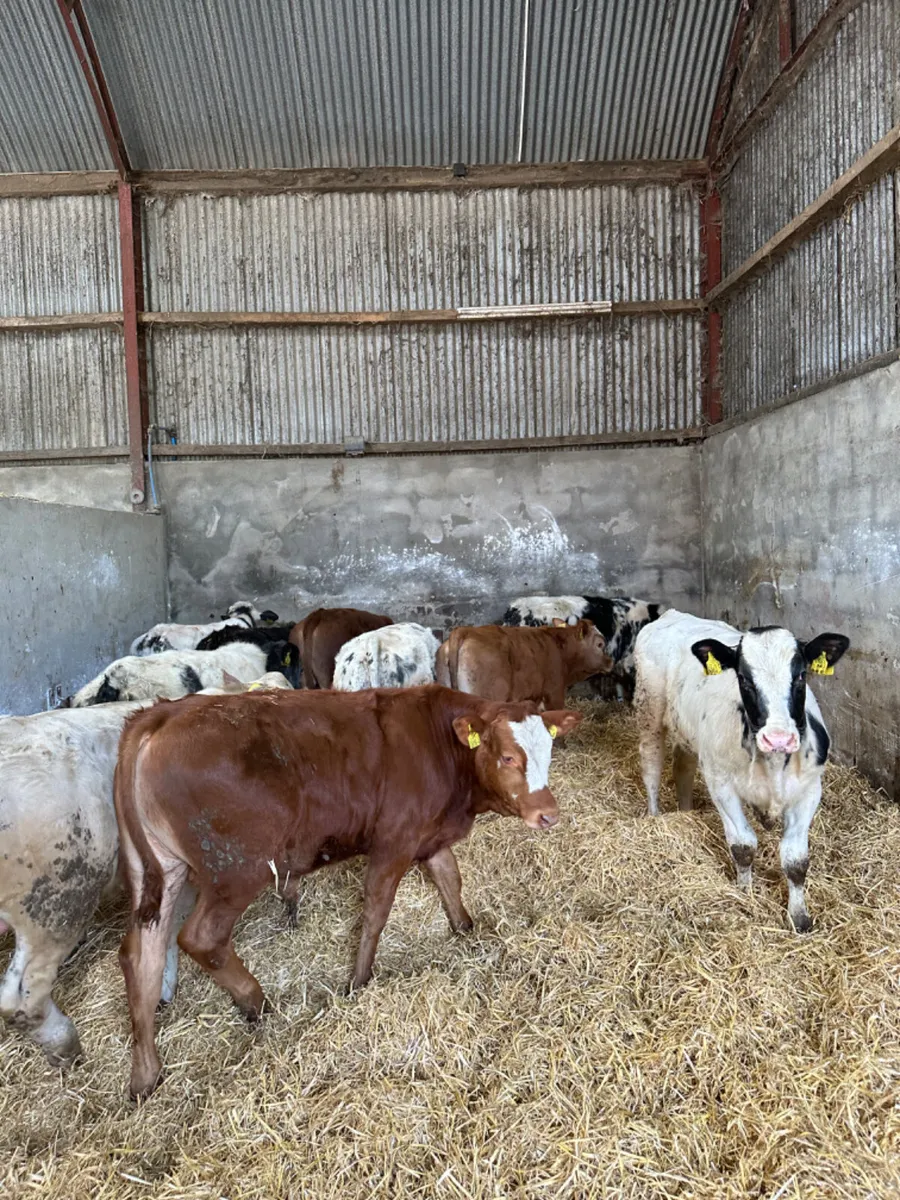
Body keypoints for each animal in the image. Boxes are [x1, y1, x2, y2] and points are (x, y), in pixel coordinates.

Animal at [114, 685, 582, 1097]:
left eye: (549, 752)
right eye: (508, 756)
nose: (548, 813)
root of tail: (164, 713)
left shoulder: (429, 836)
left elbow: (450, 878)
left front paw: (465, 928)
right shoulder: (395, 841)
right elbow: (376, 910)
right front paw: (358, 982)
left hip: (157, 871)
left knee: (142, 957)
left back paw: (145, 1074)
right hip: (235, 872)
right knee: (201, 939)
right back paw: (255, 1001)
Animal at [633, 609, 849, 932]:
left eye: (801, 675)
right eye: (744, 679)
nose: (779, 738)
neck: (772, 764)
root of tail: (674, 614)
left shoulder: (809, 791)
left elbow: (796, 861)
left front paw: (799, 917)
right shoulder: (721, 785)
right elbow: (744, 846)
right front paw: (745, 894)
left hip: (689, 733)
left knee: (682, 766)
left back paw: (685, 811)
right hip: (649, 712)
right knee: (651, 767)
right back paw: (655, 817)